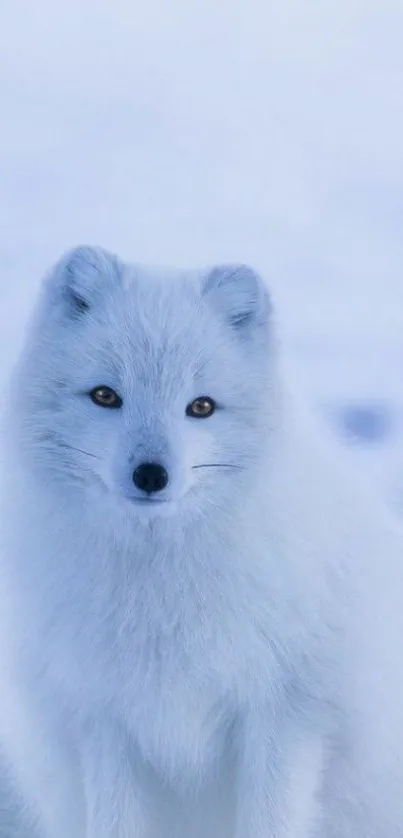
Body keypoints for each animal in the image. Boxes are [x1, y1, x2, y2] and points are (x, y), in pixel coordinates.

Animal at [0, 244, 403, 838]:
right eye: (105, 395)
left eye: (202, 407)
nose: (151, 474)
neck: (160, 588)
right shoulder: (103, 720)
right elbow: (114, 821)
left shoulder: (286, 714)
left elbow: (269, 822)